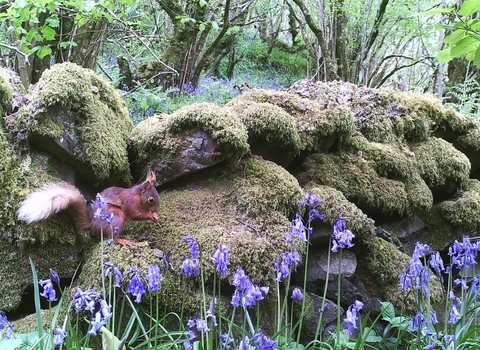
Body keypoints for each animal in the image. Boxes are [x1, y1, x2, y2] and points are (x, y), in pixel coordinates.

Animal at [17, 170, 159, 249]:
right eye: (151, 199)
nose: (158, 208)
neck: (137, 195)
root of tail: (93, 226)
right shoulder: (131, 203)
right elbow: (136, 214)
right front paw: (152, 215)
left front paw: (155, 216)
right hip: (117, 216)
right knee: (111, 237)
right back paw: (122, 240)